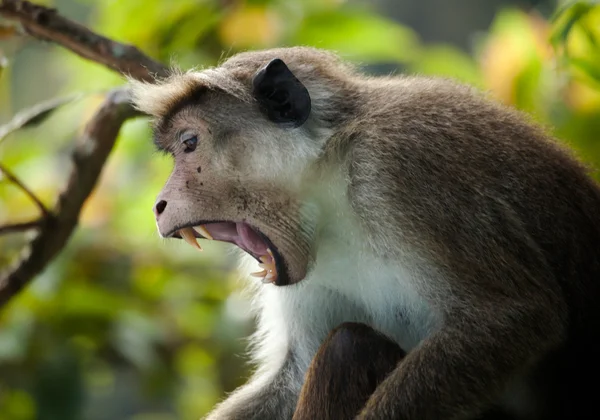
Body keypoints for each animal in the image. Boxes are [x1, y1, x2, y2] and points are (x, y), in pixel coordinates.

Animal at [129, 46, 600, 420]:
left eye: (189, 143)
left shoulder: (400, 167)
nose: (158, 205)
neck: (331, 175)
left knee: (349, 345)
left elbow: (513, 317)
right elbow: (294, 375)